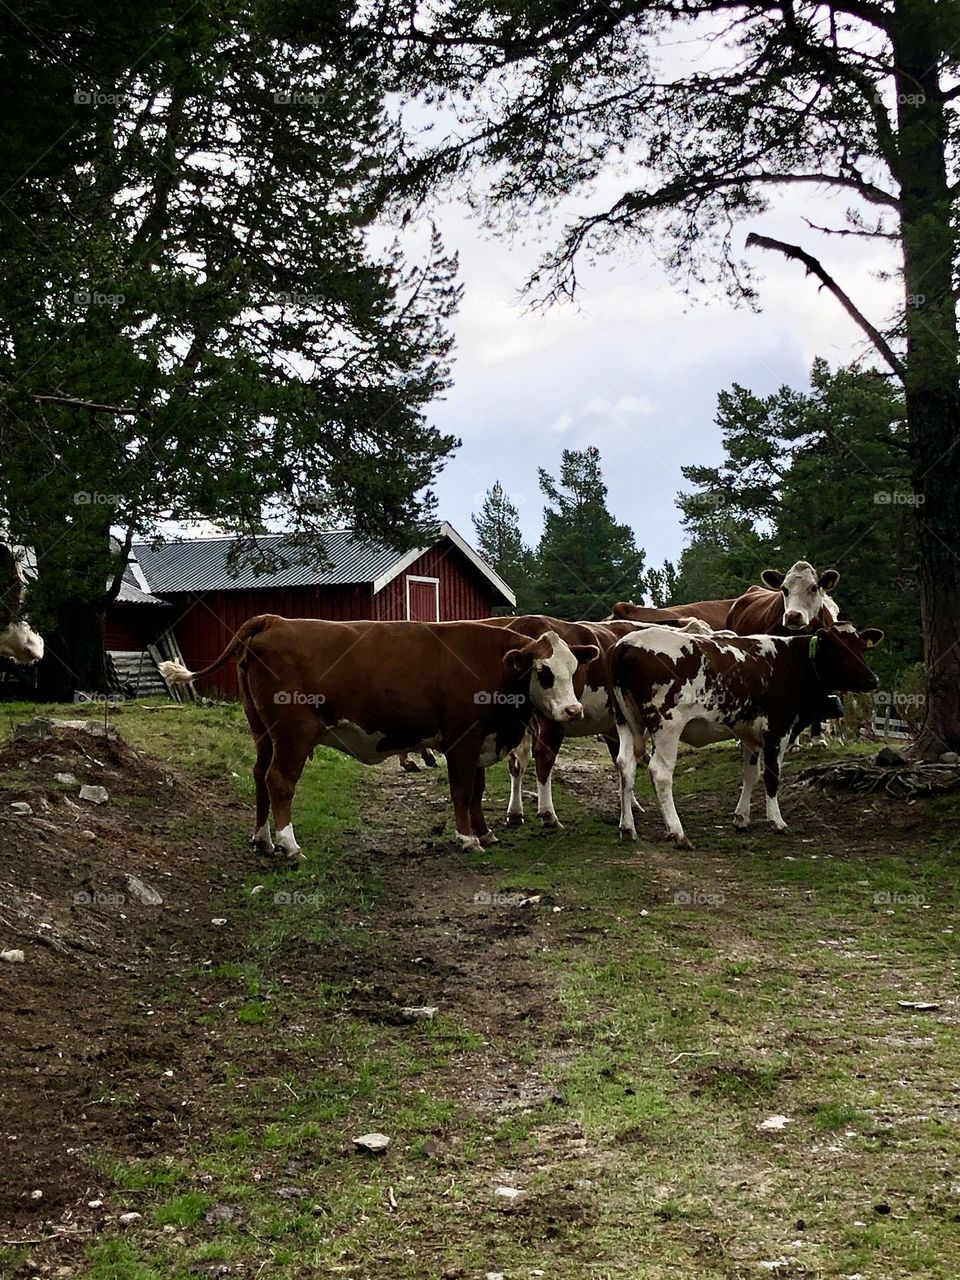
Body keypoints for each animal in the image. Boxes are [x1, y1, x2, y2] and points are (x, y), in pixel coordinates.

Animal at [158, 615, 598, 861]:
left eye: (574, 668)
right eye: (544, 672)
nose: (572, 711)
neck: (493, 663)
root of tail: (275, 621)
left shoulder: (479, 742)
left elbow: (475, 791)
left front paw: (485, 832)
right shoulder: (462, 740)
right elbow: (461, 791)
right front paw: (467, 838)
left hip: (262, 732)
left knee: (258, 778)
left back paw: (263, 840)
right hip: (292, 734)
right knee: (279, 781)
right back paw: (289, 846)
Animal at [609, 622, 883, 848]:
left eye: (862, 647)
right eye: (840, 649)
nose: (873, 679)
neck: (793, 662)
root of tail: (626, 643)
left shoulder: (750, 735)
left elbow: (750, 775)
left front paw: (742, 818)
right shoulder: (778, 730)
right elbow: (772, 776)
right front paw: (776, 821)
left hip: (624, 722)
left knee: (625, 765)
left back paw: (627, 828)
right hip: (667, 726)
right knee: (660, 772)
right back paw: (678, 832)